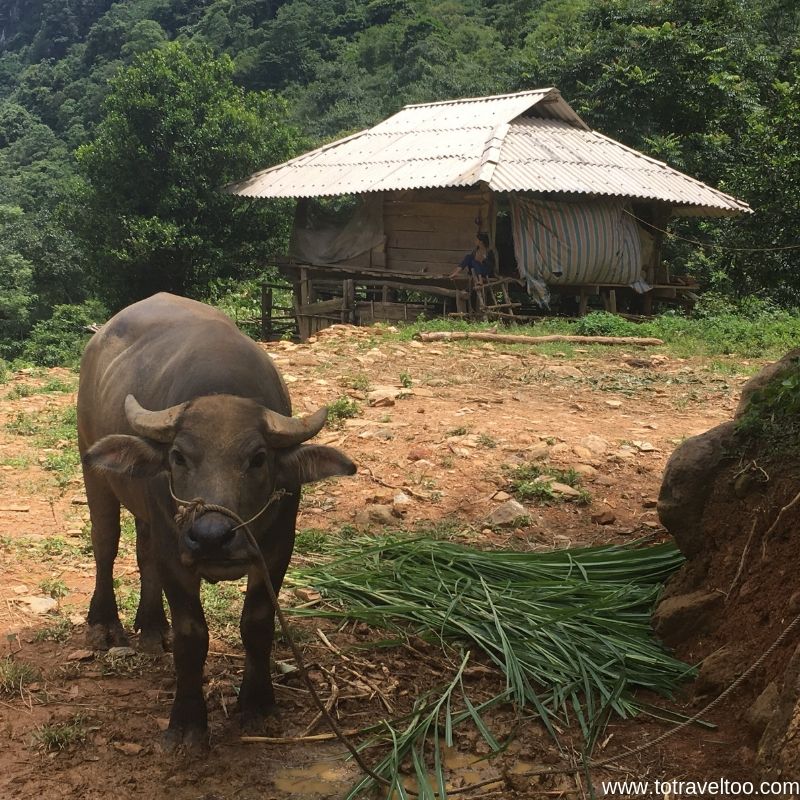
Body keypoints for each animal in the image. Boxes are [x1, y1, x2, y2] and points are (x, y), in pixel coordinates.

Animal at [77, 294, 356, 752]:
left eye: (258, 459)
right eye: (178, 456)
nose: (211, 538)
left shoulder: (277, 548)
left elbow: (257, 624)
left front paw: (258, 706)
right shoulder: (178, 553)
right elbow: (192, 635)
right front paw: (187, 722)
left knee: (144, 552)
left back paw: (153, 627)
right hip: (94, 471)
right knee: (106, 544)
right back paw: (105, 625)